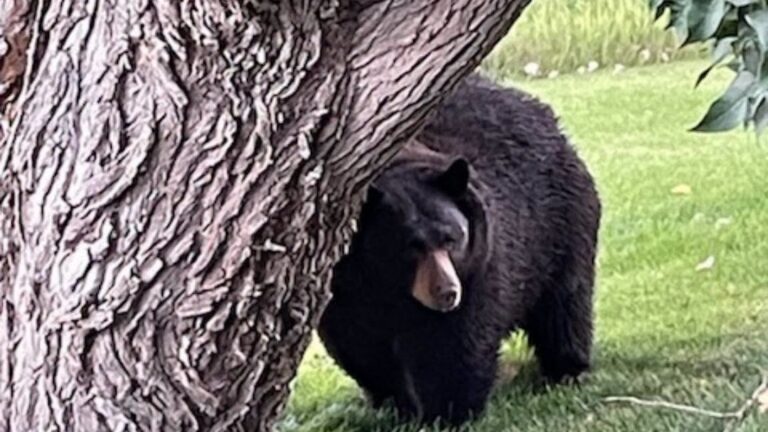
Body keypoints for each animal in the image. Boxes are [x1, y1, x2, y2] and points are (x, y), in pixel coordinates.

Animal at [317, 74, 601, 426]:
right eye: (411, 247)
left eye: (453, 238)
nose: (447, 292)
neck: (390, 289)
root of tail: (558, 130)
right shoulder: (343, 286)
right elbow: (359, 346)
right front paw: (394, 402)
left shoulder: (481, 266)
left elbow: (453, 345)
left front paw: (447, 412)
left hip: (561, 226)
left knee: (565, 303)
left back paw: (566, 369)